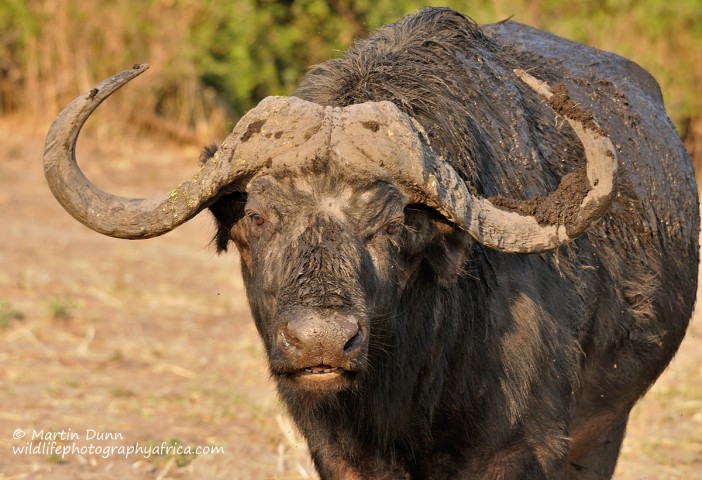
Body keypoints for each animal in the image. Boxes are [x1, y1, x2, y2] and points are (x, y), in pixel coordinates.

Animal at [44, 7, 700, 480]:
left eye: (392, 225)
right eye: (257, 218)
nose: (321, 342)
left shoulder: (520, 449)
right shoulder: (337, 455)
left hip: (605, 428)